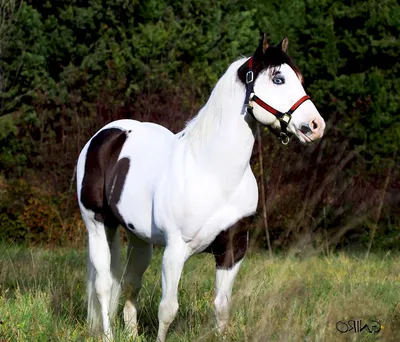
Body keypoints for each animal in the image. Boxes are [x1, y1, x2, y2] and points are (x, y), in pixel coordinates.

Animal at [76, 32, 324, 342]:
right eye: (278, 78)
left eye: (299, 78)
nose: (315, 126)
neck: (212, 171)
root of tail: (105, 135)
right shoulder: (175, 250)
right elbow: (168, 309)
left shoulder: (232, 249)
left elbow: (222, 307)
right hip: (97, 225)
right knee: (104, 286)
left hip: (139, 238)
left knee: (131, 284)